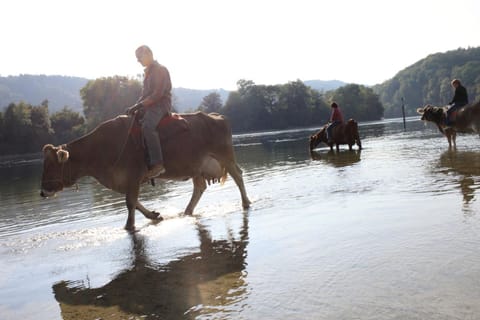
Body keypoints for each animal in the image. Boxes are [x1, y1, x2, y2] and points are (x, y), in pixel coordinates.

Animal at [40, 112, 251, 230]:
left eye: (50, 165)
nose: (42, 192)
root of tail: (216, 115)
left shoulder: (133, 175)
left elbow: (130, 202)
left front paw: (128, 226)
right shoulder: (126, 180)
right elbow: (135, 202)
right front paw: (154, 215)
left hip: (225, 156)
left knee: (238, 175)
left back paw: (246, 202)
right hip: (197, 167)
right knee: (199, 187)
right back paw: (187, 212)